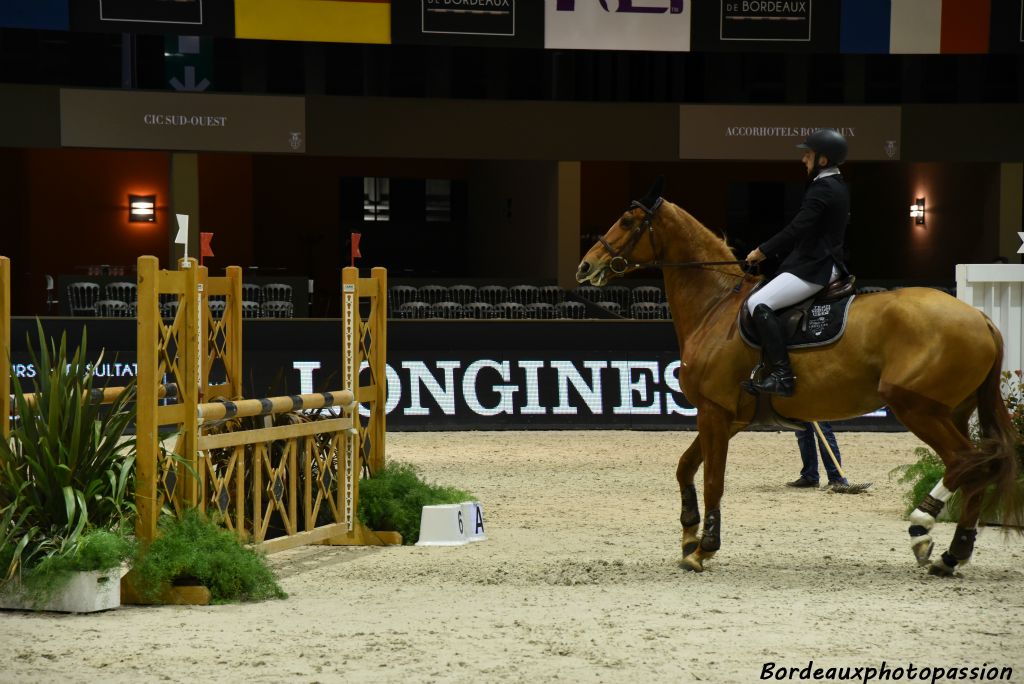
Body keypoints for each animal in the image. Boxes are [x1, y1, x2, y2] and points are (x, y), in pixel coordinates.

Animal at [581, 189, 1019, 573]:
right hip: (951, 411)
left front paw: (704, 549)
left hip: (916, 407)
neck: (716, 307)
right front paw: (689, 536)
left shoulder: (714, 413)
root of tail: (980, 318)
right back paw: (952, 556)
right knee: (976, 468)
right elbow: (685, 468)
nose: (586, 266)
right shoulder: (725, 417)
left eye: (626, 221)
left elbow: (712, 481)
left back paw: (922, 527)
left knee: (966, 461)